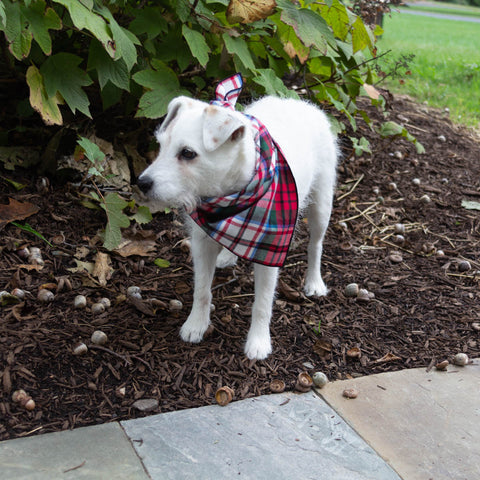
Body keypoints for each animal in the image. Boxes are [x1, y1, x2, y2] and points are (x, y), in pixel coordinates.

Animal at [138, 76, 338, 360]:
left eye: (188, 153)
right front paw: (196, 324)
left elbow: (262, 303)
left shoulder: (269, 251)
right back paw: (227, 256)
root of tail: (302, 104)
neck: (231, 199)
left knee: (316, 244)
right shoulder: (202, 242)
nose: (142, 183)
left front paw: (258, 342)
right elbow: (201, 289)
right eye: (161, 146)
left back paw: (314, 282)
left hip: (322, 203)